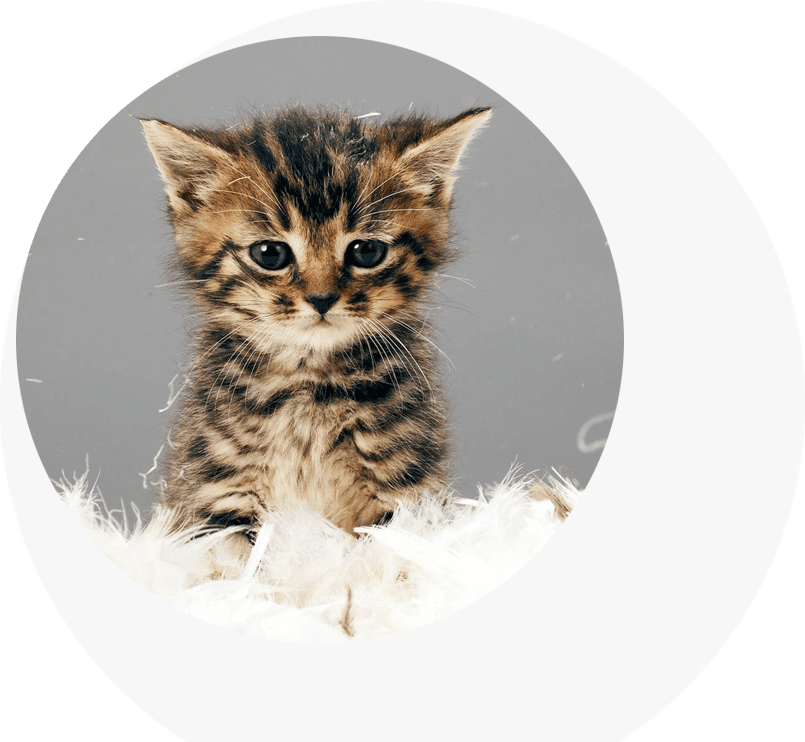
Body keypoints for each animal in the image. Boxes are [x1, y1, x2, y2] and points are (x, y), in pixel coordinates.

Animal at [141, 104, 490, 544]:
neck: (310, 384)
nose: (322, 299)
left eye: (367, 251)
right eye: (270, 253)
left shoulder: (406, 491)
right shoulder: (213, 492)